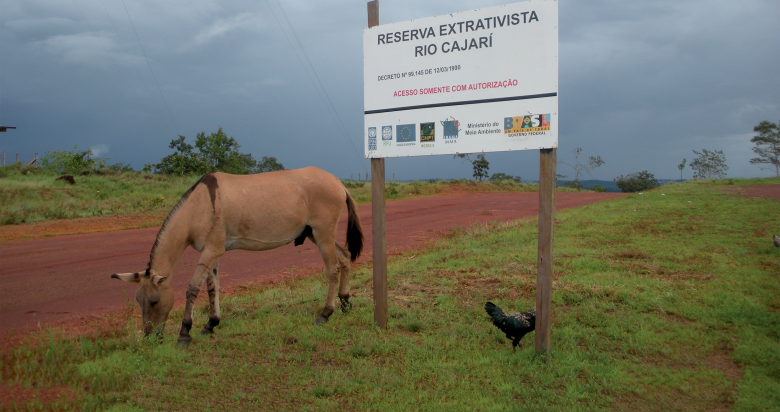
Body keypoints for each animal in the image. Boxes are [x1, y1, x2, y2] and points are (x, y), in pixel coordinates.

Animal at [111, 166, 364, 342]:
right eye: (138, 301)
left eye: (154, 301)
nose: (149, 337)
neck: (200, 206)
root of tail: (337, 181)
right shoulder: (212, 254)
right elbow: (212, 288)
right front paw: (210, 324)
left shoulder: (211, 251)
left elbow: (192, 288)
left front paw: (185, 331)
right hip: (314, 234)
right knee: (345, 258)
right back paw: (345, 302)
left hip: (322, 233)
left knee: (332, 268)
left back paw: (326, 312)